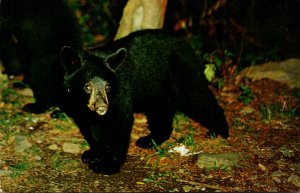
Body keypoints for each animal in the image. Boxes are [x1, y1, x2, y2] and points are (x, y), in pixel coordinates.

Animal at [59, 29, 229, 175]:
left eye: (108, 87)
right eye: (87, 87)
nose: (102, 107)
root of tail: (183, 41)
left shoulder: (120, 94)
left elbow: (120, 124)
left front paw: (107, 165)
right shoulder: (78, 105)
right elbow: (92, 128)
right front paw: (93, 154)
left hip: (184, 72)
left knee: (197, 97)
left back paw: (219, 131)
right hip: (157, 88)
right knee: (160, 111)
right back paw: (150, 139)